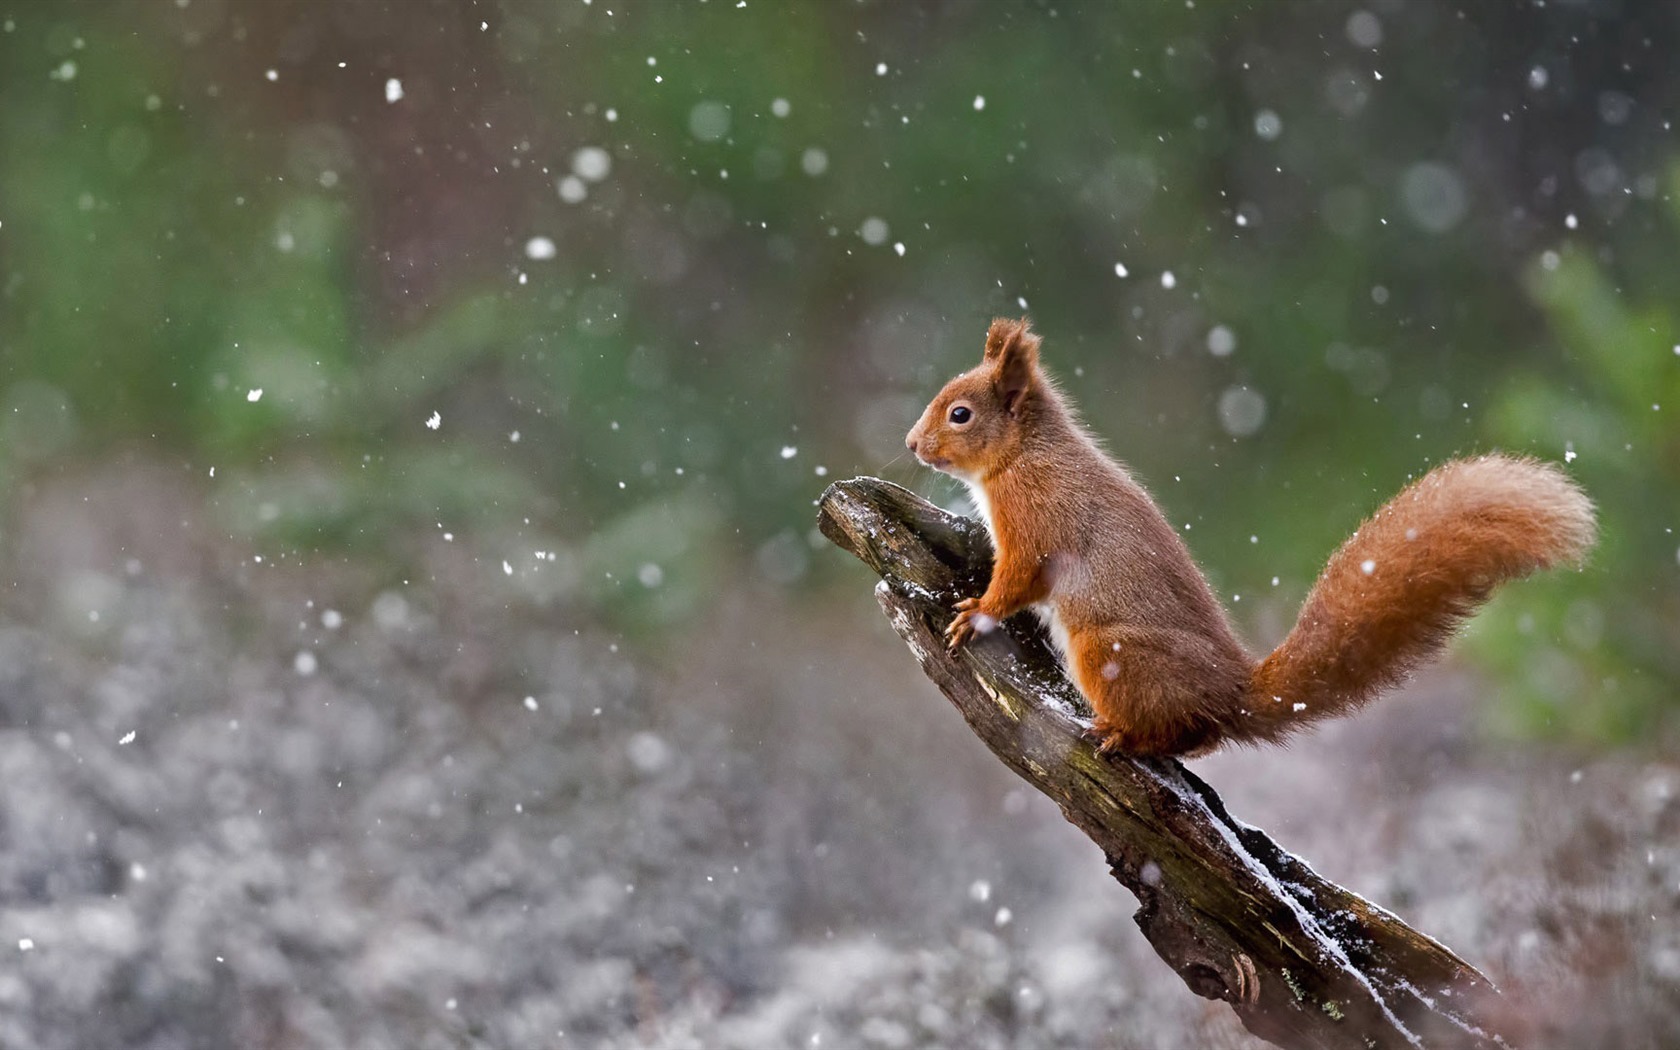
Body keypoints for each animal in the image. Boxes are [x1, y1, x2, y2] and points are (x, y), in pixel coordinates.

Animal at [913, 317, 1592, 752]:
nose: (912, 444)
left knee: (1184, 731)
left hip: (1109, 651)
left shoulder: (1035, 518)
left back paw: (1126, 737)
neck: (1023, 455)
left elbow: (1018, 578)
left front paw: (974, 614)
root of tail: (1232, 691)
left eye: (960, 414)